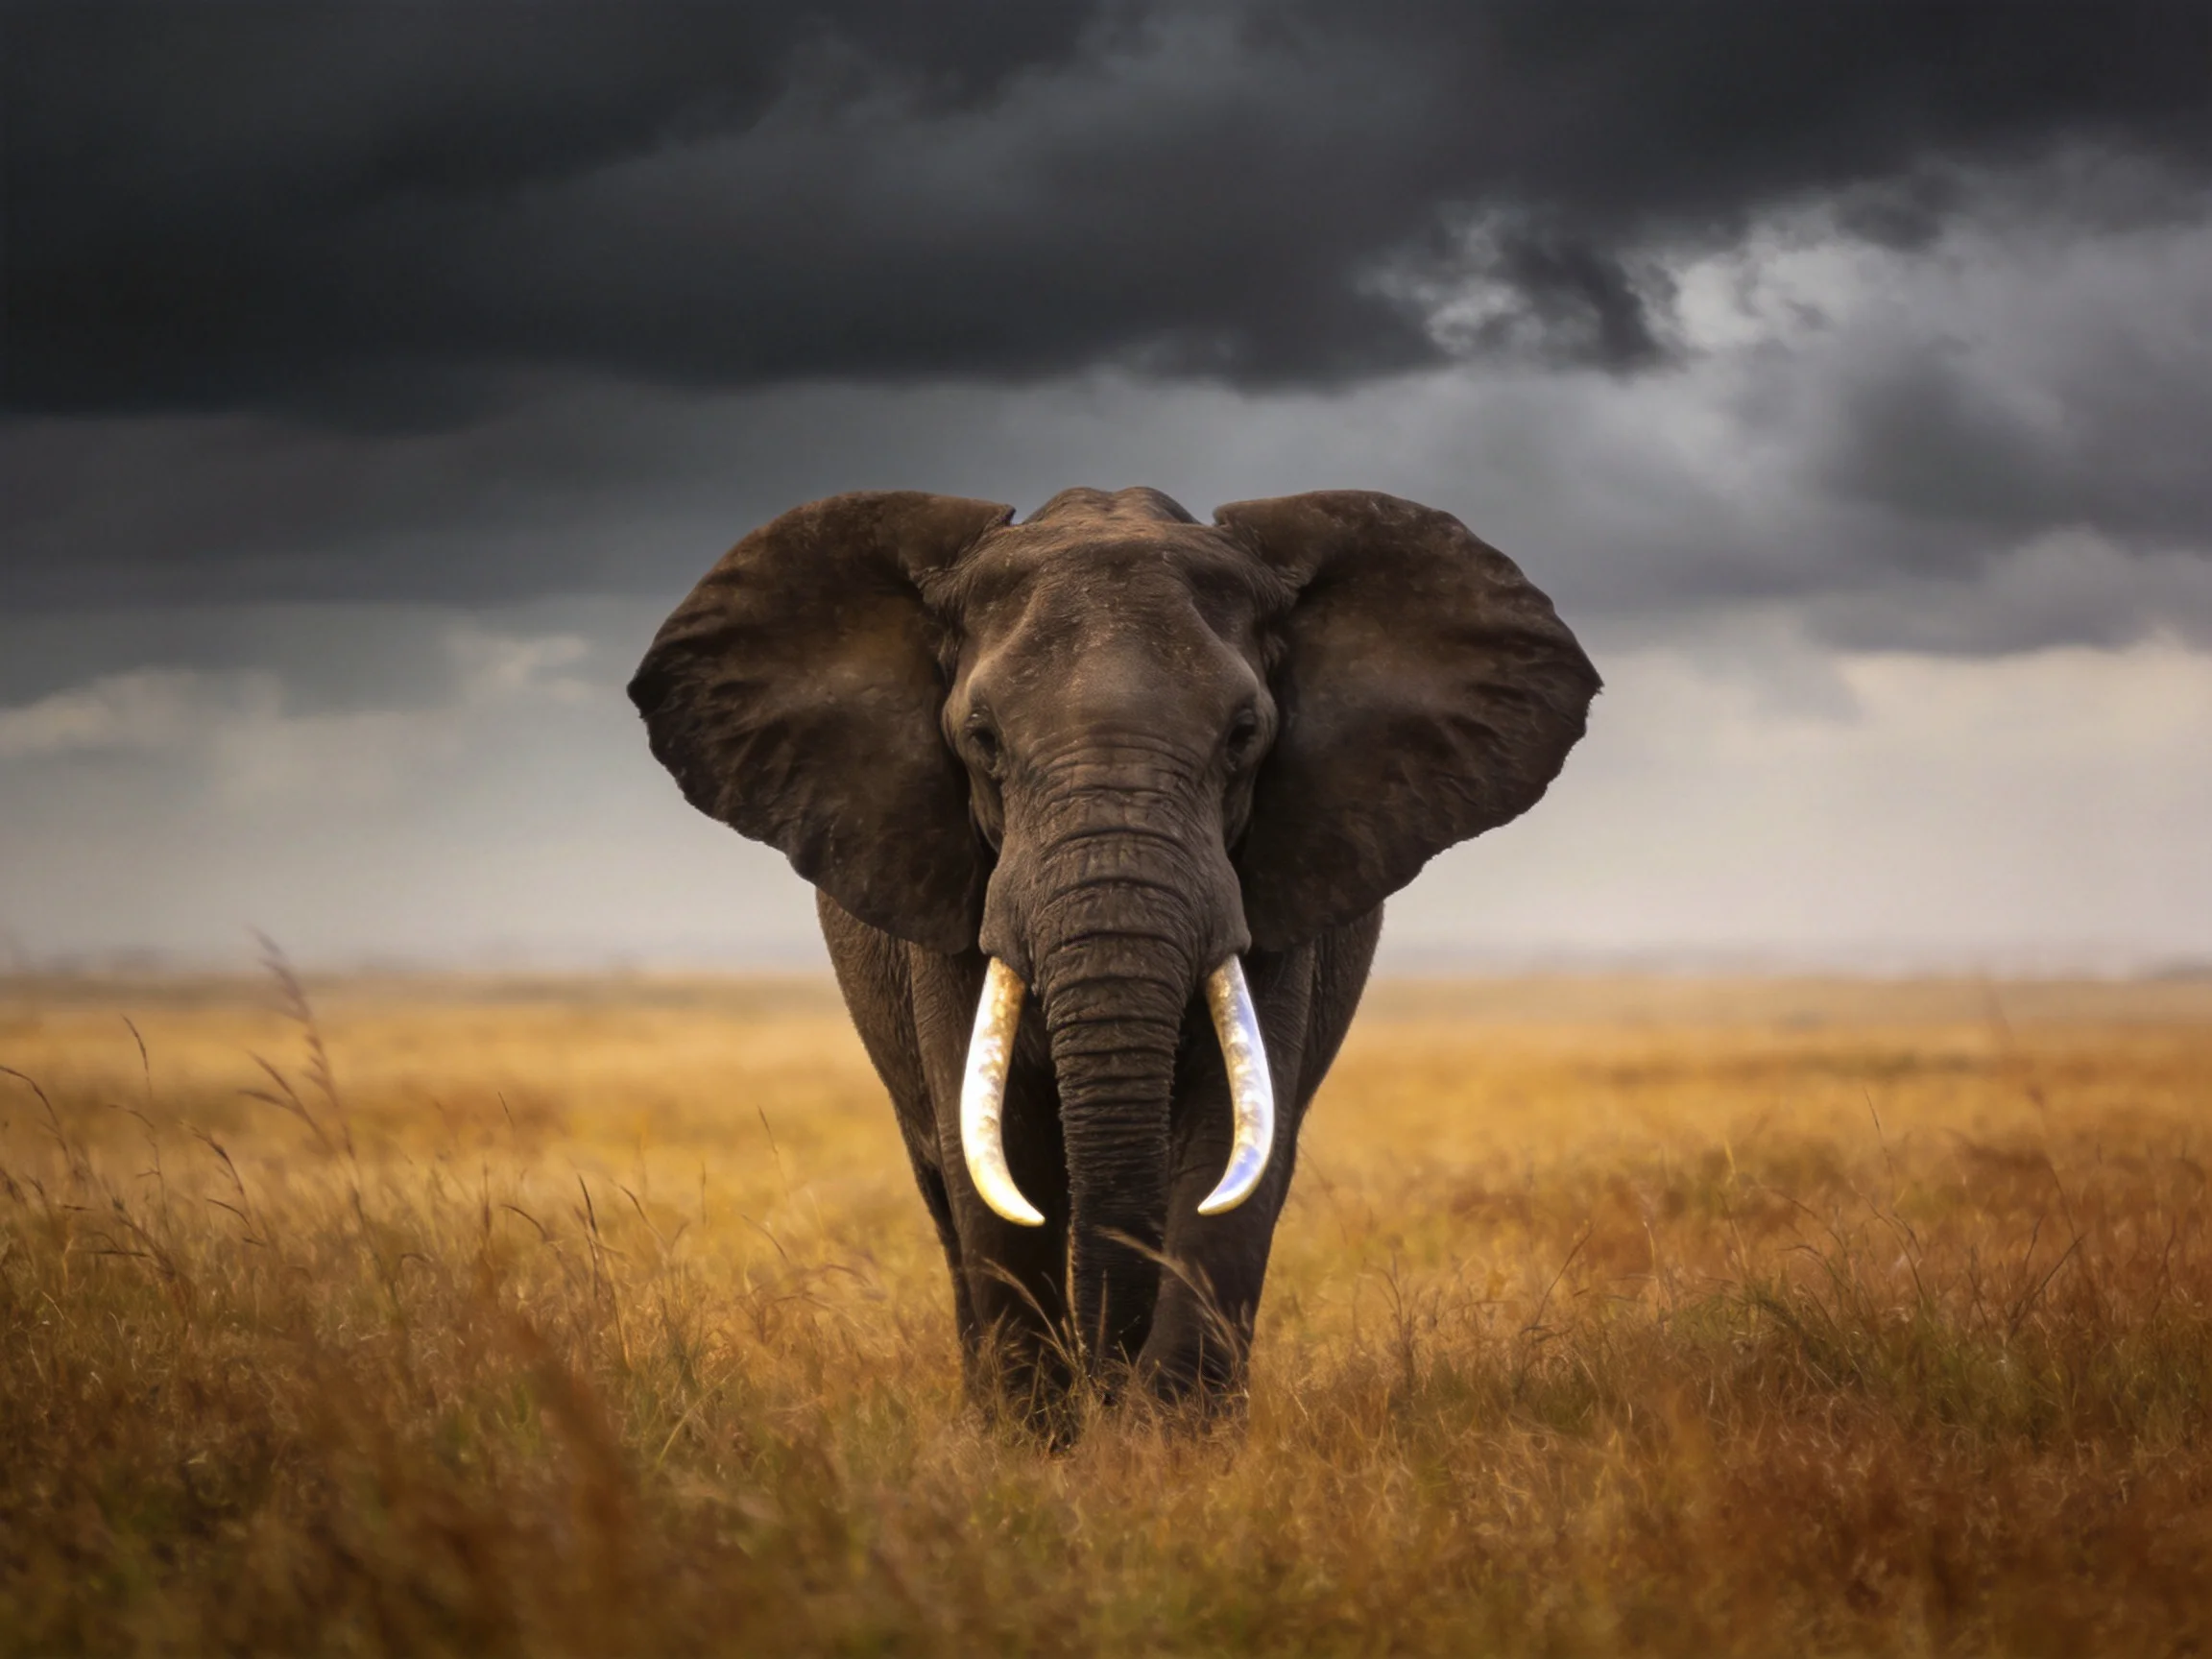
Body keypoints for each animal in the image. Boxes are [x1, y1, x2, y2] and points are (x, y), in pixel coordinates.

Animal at [629, 485, 1597, 1421]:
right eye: (981, 738)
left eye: (1244, 734)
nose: (1108, 1386)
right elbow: (996, 1166)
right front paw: (1036, 1450)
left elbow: (1228, 1160)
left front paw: (1169, 1451)